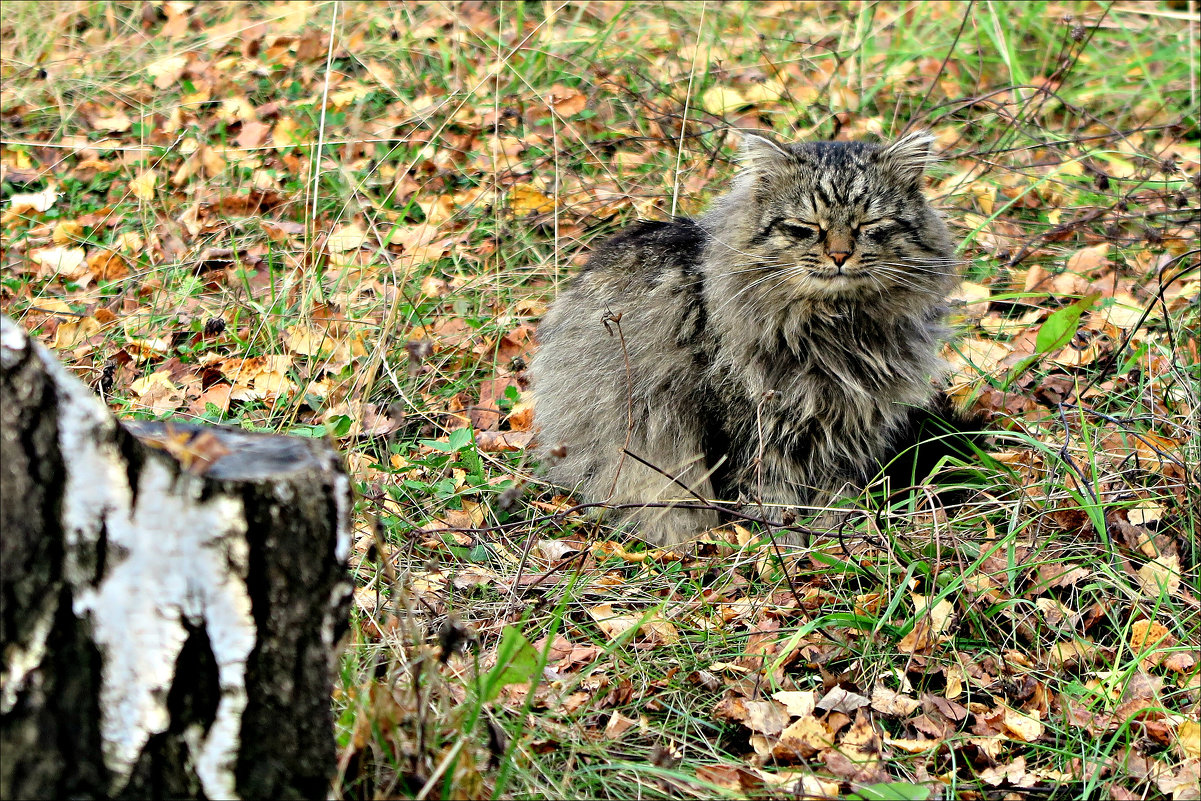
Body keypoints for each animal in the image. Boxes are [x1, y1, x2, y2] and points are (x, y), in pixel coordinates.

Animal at [530, 130, 970, 545]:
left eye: (870, 226)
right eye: (807, 228)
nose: (840, 256)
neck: (838, 326)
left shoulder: (847, 430)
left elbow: (836, 497)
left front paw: (832, 542)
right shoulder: (751, 429)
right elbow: (772, 500)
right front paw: (788, 551)